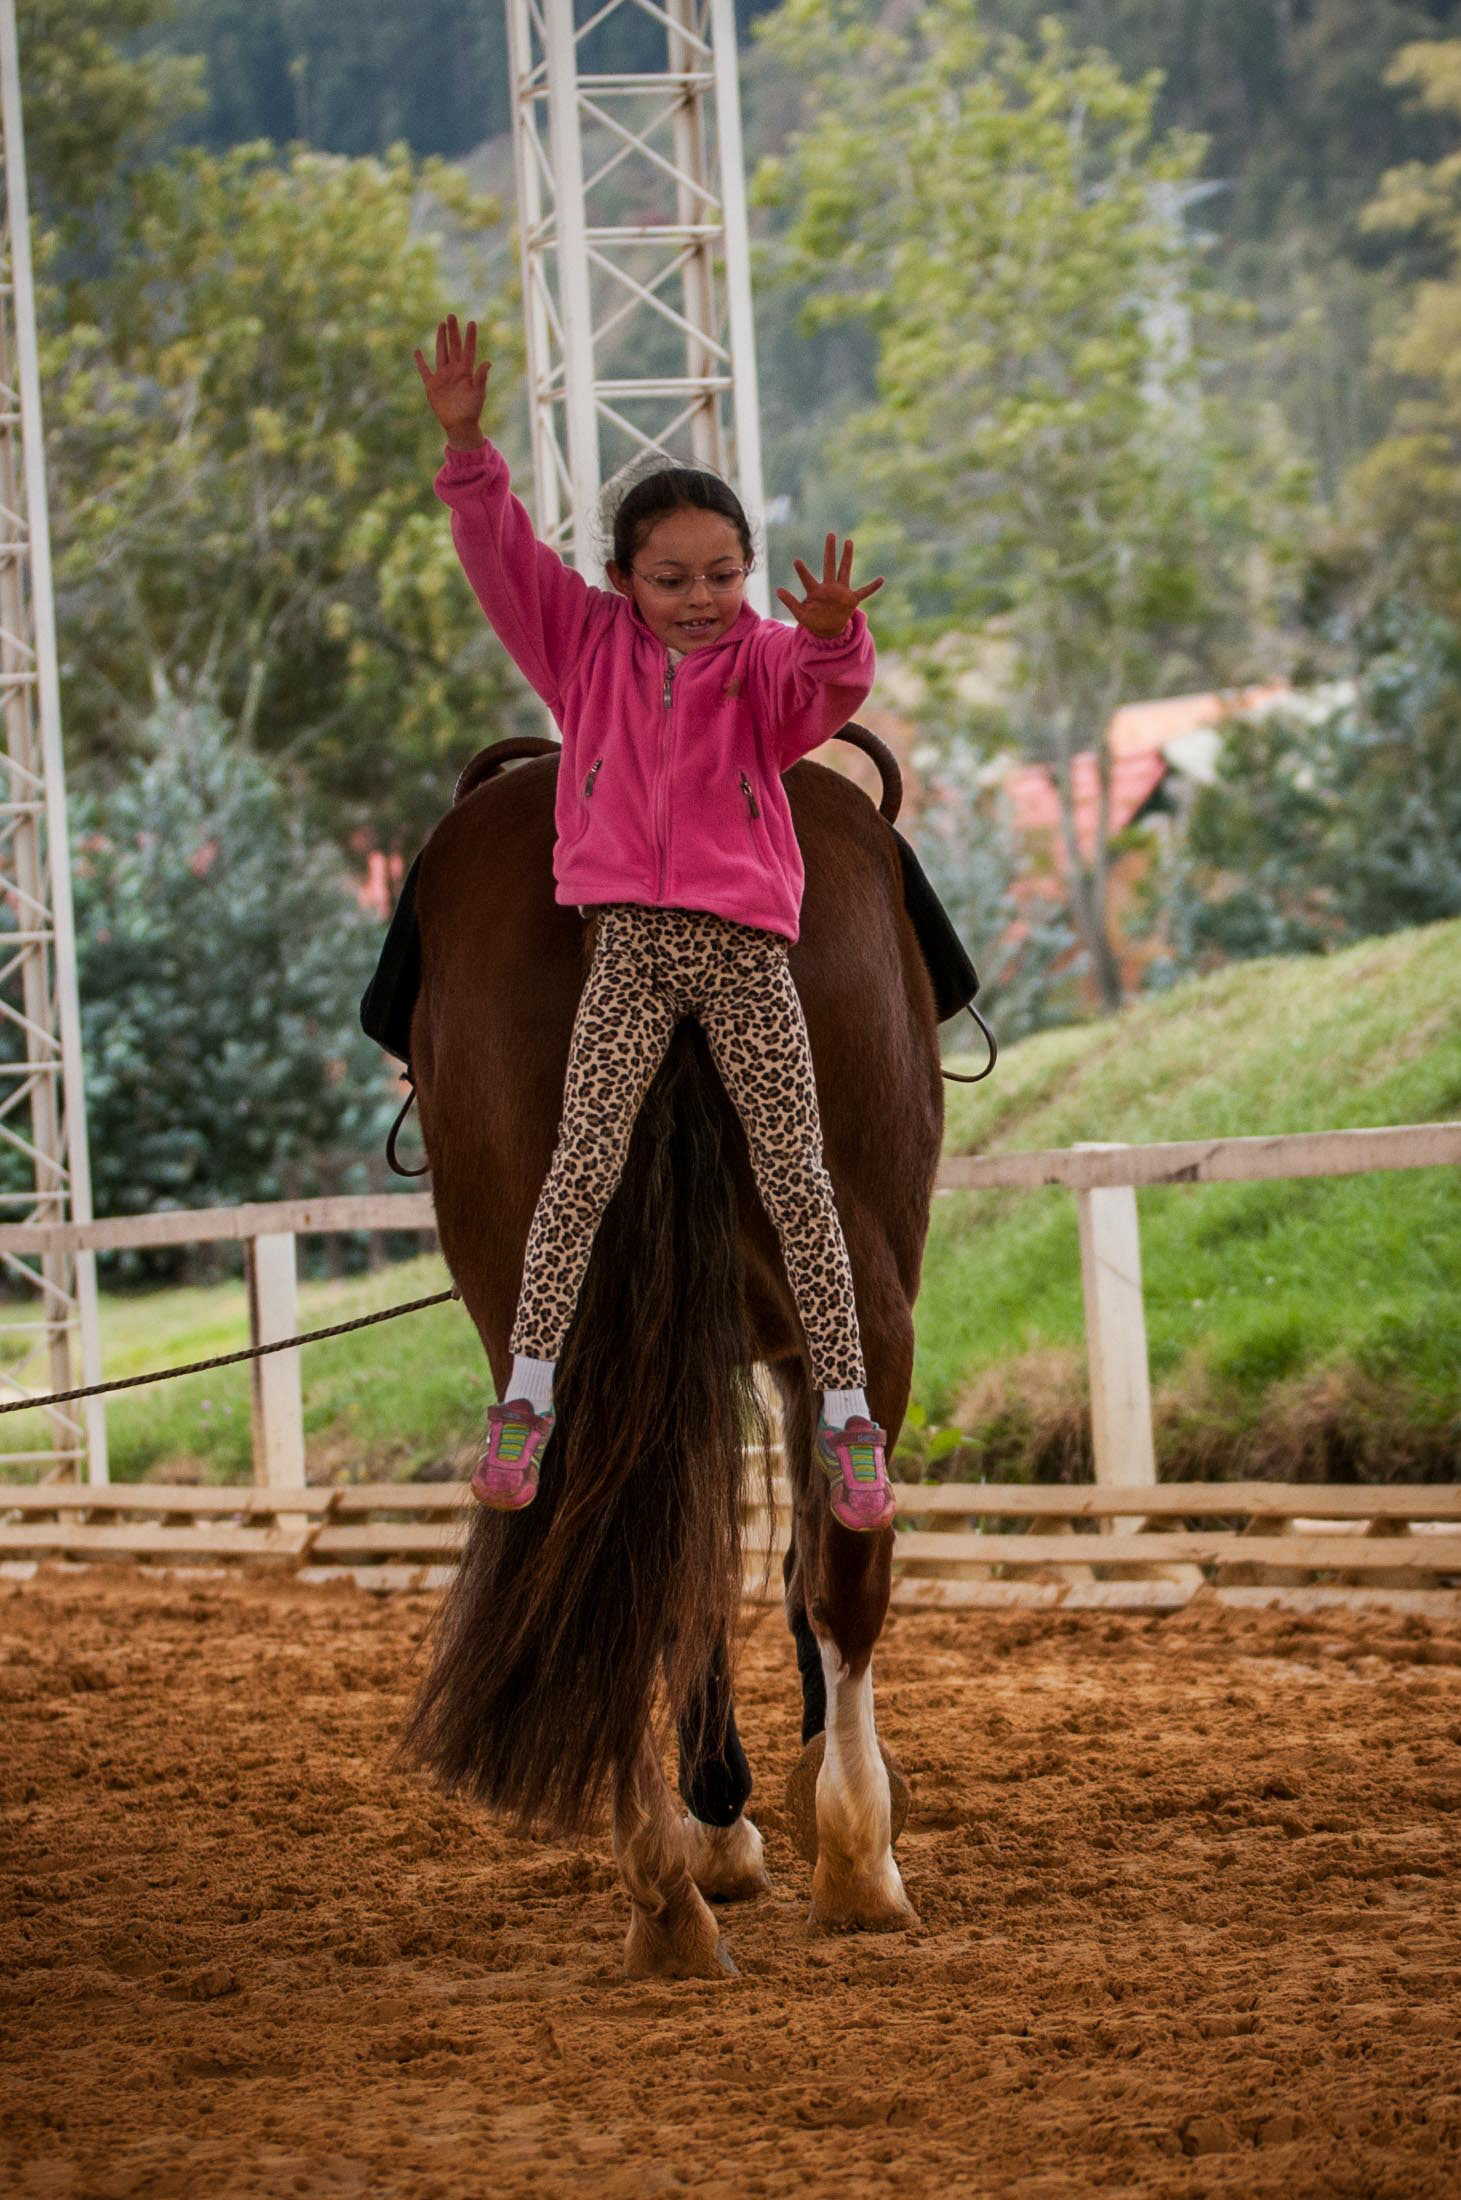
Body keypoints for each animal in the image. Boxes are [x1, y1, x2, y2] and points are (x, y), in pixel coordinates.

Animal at [399, 727, 944, 1977]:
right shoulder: (794, 1349)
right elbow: (791, 1570)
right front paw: (776, 1813)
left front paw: (723, 1820)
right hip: (863, 1294)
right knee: (844, 1574)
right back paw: (855, 1862)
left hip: (543, 1307)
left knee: (605, 1561)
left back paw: (665, 1893)